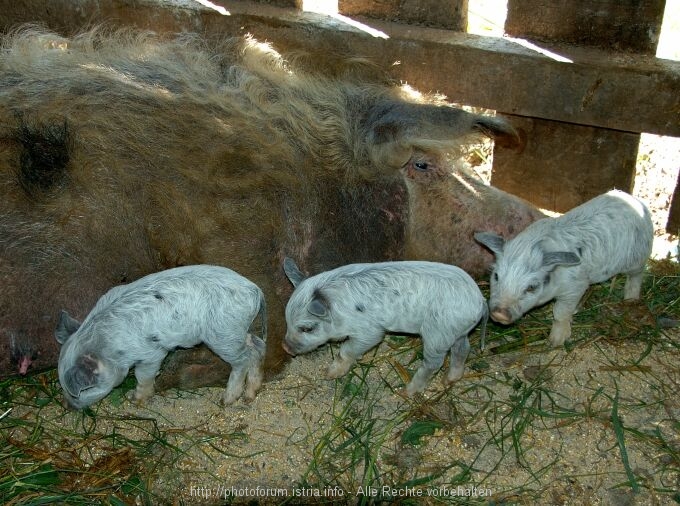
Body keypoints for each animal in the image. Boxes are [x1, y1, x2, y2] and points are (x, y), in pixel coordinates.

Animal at [54, 262, 266, 410]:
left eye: (81, 391)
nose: (67, 406)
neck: (107, 346)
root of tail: (255, 290)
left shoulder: (151, 353)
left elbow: (144, 375)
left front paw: (135, 399)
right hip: (236, 330)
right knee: (256, 345)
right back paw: (249, 396)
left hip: (223, 333)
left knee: (243, 359)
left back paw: (227, 400)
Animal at [282, 258, 488, 394]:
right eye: (287, 321)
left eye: (307, 328)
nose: (285, 347)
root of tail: (480, 300)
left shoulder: (370, 331)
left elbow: (347, 350)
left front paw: (329, 373)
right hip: (456, 331)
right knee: (463, 348)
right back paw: (449, 380)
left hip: (437, 333)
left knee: (434, 362)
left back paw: (406, 391)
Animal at [472, 191, 652, 348]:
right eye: (496, 276)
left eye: (532, 287)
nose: (499, 313)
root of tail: (637, 201)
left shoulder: (576, 286)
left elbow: (560, 312)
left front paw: (554, 343)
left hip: (639, 256)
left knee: (637, 275)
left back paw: (630, 300)